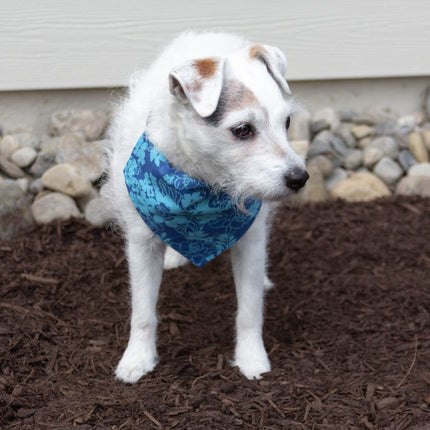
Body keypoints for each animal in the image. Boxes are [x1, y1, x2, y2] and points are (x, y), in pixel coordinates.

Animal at [102, 31, 308, 382]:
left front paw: (252, 359)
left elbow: (249, 310)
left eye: (288, 122)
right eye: (242, 130)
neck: (203, 184)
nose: (300, 178)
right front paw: (137, 359)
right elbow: (142, 311)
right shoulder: (142, 241)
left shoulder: (250, 240)